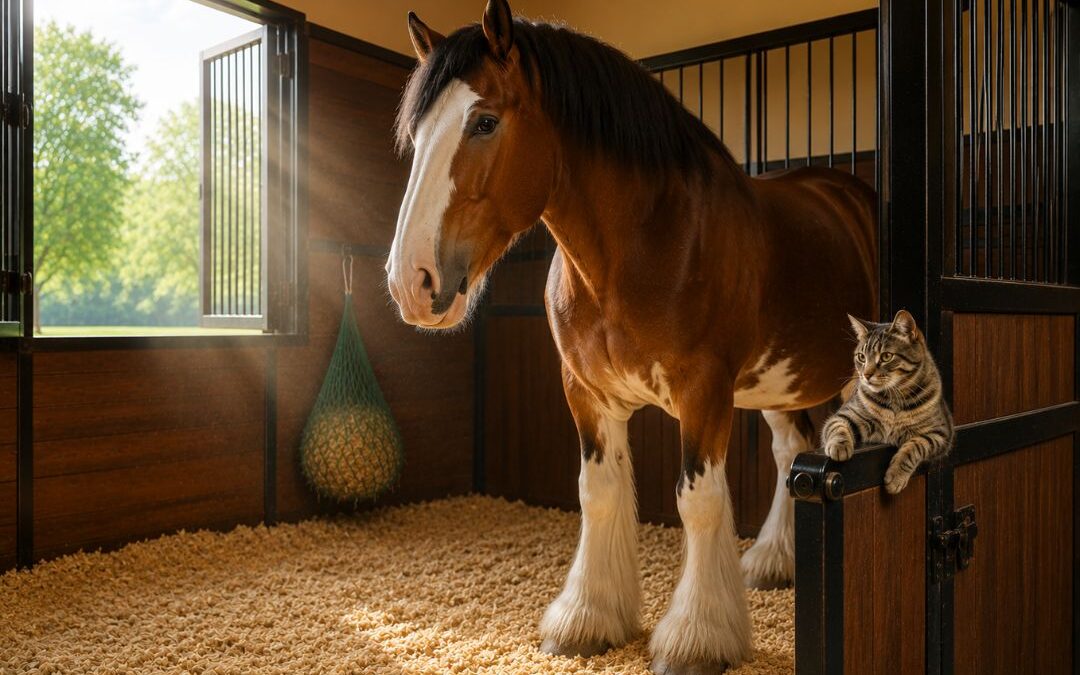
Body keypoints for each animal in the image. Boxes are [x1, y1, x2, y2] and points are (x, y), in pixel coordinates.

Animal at [385, 1, 878, 672]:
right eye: (416, 137)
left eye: (484, 121)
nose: (411, 282)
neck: (642, 246)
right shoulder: (586, 393)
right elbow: (599, 492)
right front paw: (588, 619)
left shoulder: (704, 394)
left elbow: (698, 501)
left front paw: (697, 637)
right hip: (776, 380)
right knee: (787, 450)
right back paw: (773, 561)